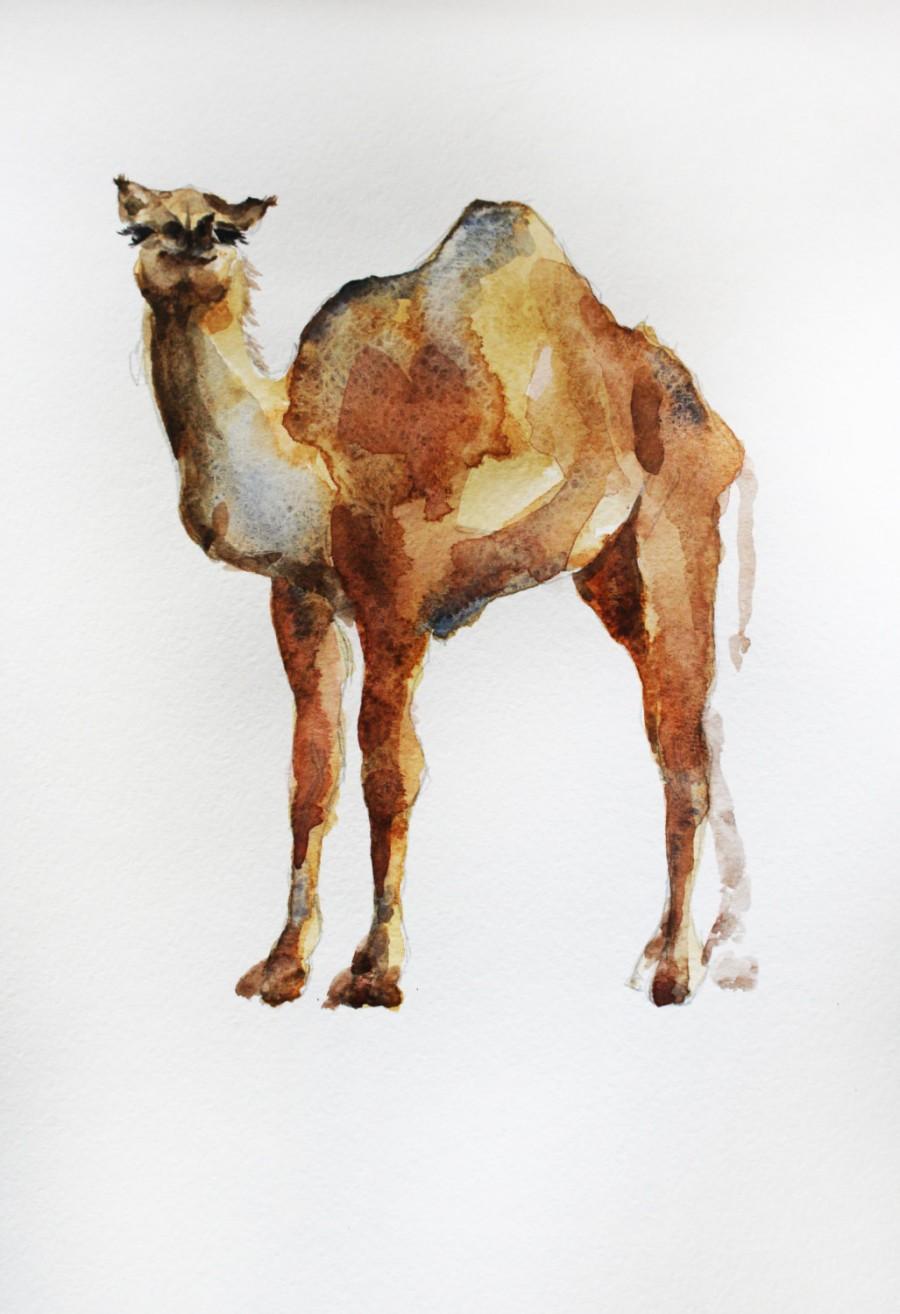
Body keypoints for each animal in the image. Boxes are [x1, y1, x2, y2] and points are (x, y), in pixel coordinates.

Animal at [116, 176, 752, 1009]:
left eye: (227, 227)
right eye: (136, 228)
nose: (188, 239)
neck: (308, 462)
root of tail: (702, 407)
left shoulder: (396, 597)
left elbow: (391, 773)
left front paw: (373, 970)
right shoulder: (300, 598)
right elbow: (310, 776)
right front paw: (281, 966)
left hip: (676, 524)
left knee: (680, 743)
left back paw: (675, 971)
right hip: (609, 571)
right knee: (689, 729)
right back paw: (679, 954)